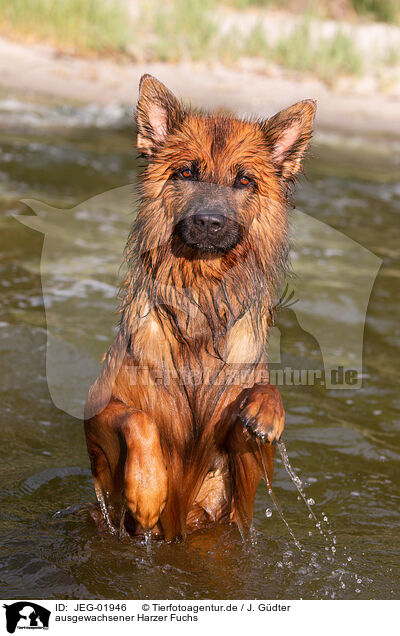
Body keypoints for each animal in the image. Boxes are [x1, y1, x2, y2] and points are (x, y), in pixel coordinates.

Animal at [84, 74, 316, 540]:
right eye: (187, 172)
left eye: (244, 180)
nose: (210, 223)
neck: (200, 304)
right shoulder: (97, 411)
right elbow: (139, 420)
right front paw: (148, 492)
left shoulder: (244, 462)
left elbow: (265, 391)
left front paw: (265, 412)